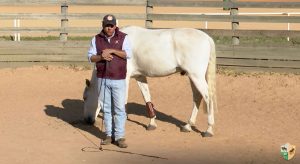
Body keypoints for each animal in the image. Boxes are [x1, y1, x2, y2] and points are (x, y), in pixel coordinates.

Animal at [83, 26, 217, 137]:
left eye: (85, 97)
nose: (87, 120)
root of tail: (207, 38)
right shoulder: (140, 76)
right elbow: (147, 98)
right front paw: (152, 123)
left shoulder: (124, 78)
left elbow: (122, 100)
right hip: (192, 76)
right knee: (197, 97)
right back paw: (188, 126)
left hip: (196, 76)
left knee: (208, 97)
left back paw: (209, 130)